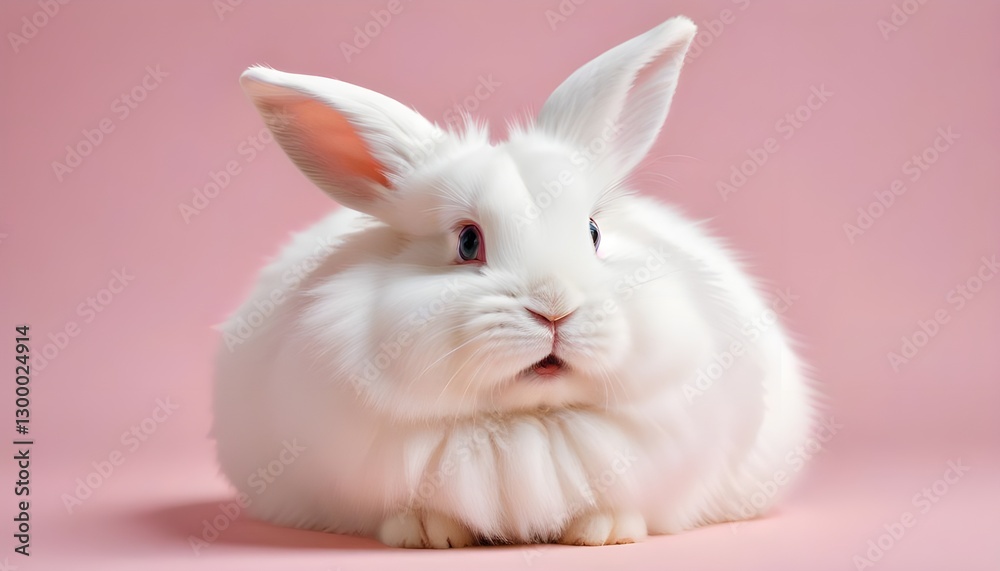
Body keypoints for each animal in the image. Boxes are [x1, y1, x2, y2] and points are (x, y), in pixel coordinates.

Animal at [212, 15, 816, 548]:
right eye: (467, 242)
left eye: (593, 232)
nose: (554, 308)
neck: (530, 419)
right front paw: (428, 534)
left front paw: (605, 532)